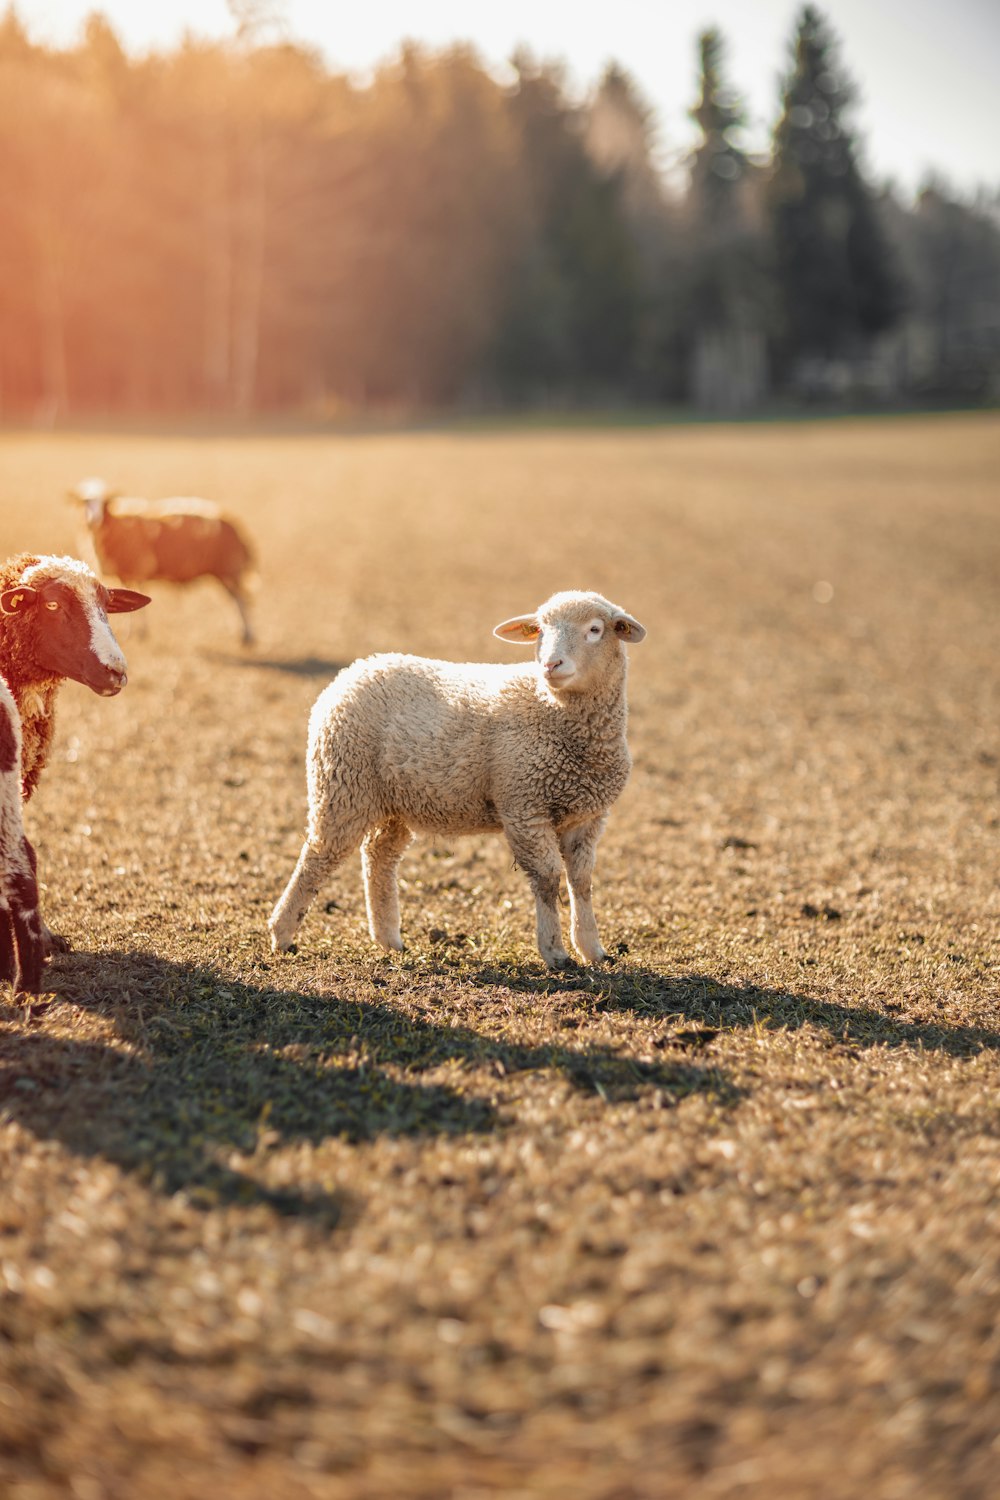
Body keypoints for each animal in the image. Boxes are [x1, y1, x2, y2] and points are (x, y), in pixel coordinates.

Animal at [68, 477, 257, 648]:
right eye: (84, 503)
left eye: (105, 503)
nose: (91, 521)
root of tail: (236, 527)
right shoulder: (126, 574)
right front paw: (132, 632)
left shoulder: (137, 570)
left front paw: (139, 633)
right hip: (225, 572)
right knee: (234, 600)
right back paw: (241, 633)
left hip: (229, 570)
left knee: (242, 600)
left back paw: (247, 635)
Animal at [268, 591, 650, 966]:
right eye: (540, 629)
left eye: (595, 630)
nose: (551, 665)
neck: (553, 710)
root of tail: (354, 670)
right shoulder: (524, 807)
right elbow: (547, 878)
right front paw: (555, 951)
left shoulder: (588, 815)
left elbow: (581, 881)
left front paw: (592, 949)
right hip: (343, 783)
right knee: (319, 854)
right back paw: (282, 933)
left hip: (393, 800)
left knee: (379, 856)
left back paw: (389, 939)